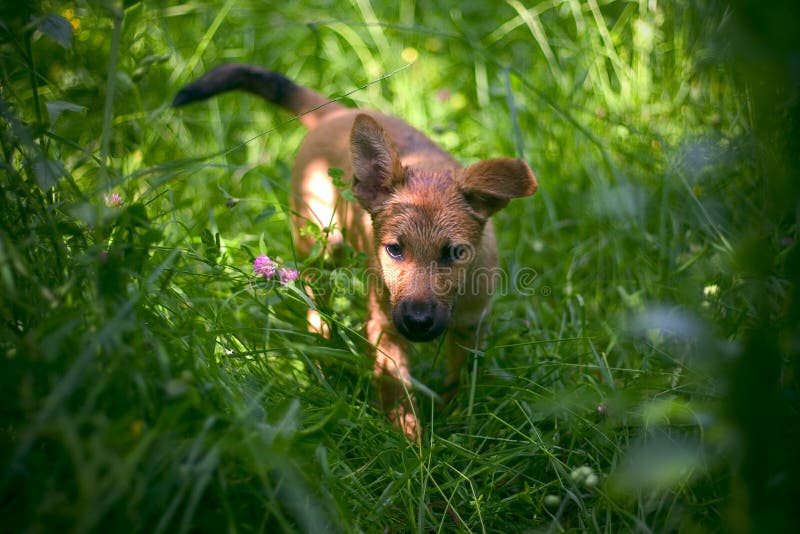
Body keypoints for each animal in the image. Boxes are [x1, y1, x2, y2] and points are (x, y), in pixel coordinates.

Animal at [174, 65, 536, 440]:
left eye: (455, 252)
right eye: (394, 249)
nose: (417, 322)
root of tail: (338, 114)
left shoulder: (471, 325)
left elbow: (462, 382)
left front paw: (457, 422)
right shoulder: (384, 326)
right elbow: (397, 391)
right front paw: (411, 443)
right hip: (319, 253)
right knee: (315, 313)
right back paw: (324, 366)